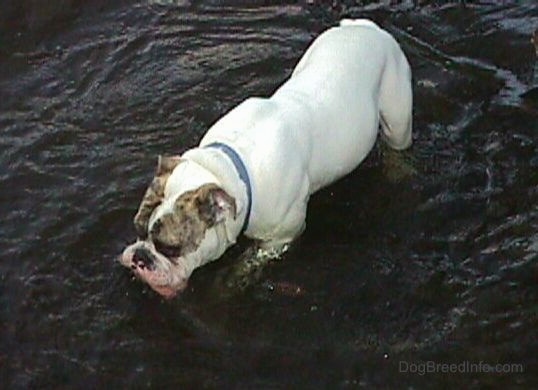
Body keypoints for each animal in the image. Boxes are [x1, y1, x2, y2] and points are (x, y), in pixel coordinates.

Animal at [119, 18, 410, 298]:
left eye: (170, 248)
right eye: (137, 229)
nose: (140, 256)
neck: (229, 170)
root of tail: (366, 27)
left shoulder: (280, 239)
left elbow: (247, 264)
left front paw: (226, 285)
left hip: (398, 122)